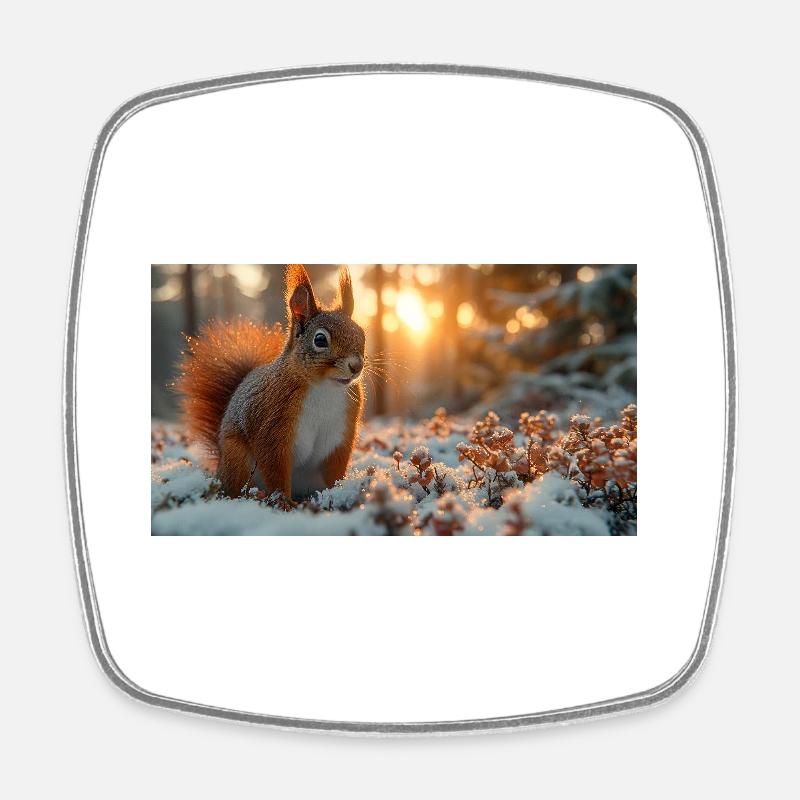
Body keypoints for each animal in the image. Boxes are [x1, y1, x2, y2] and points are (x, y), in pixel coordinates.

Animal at [176, 264, 366, 500]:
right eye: (320, 339)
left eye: (362, 334)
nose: (356, 366)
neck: (325, 387)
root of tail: (220, 469)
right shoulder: (272, 423)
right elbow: (274, 465)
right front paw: (283, 501)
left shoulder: (341, 437)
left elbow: (336, 468)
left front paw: (337, 492)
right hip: (237, 459)